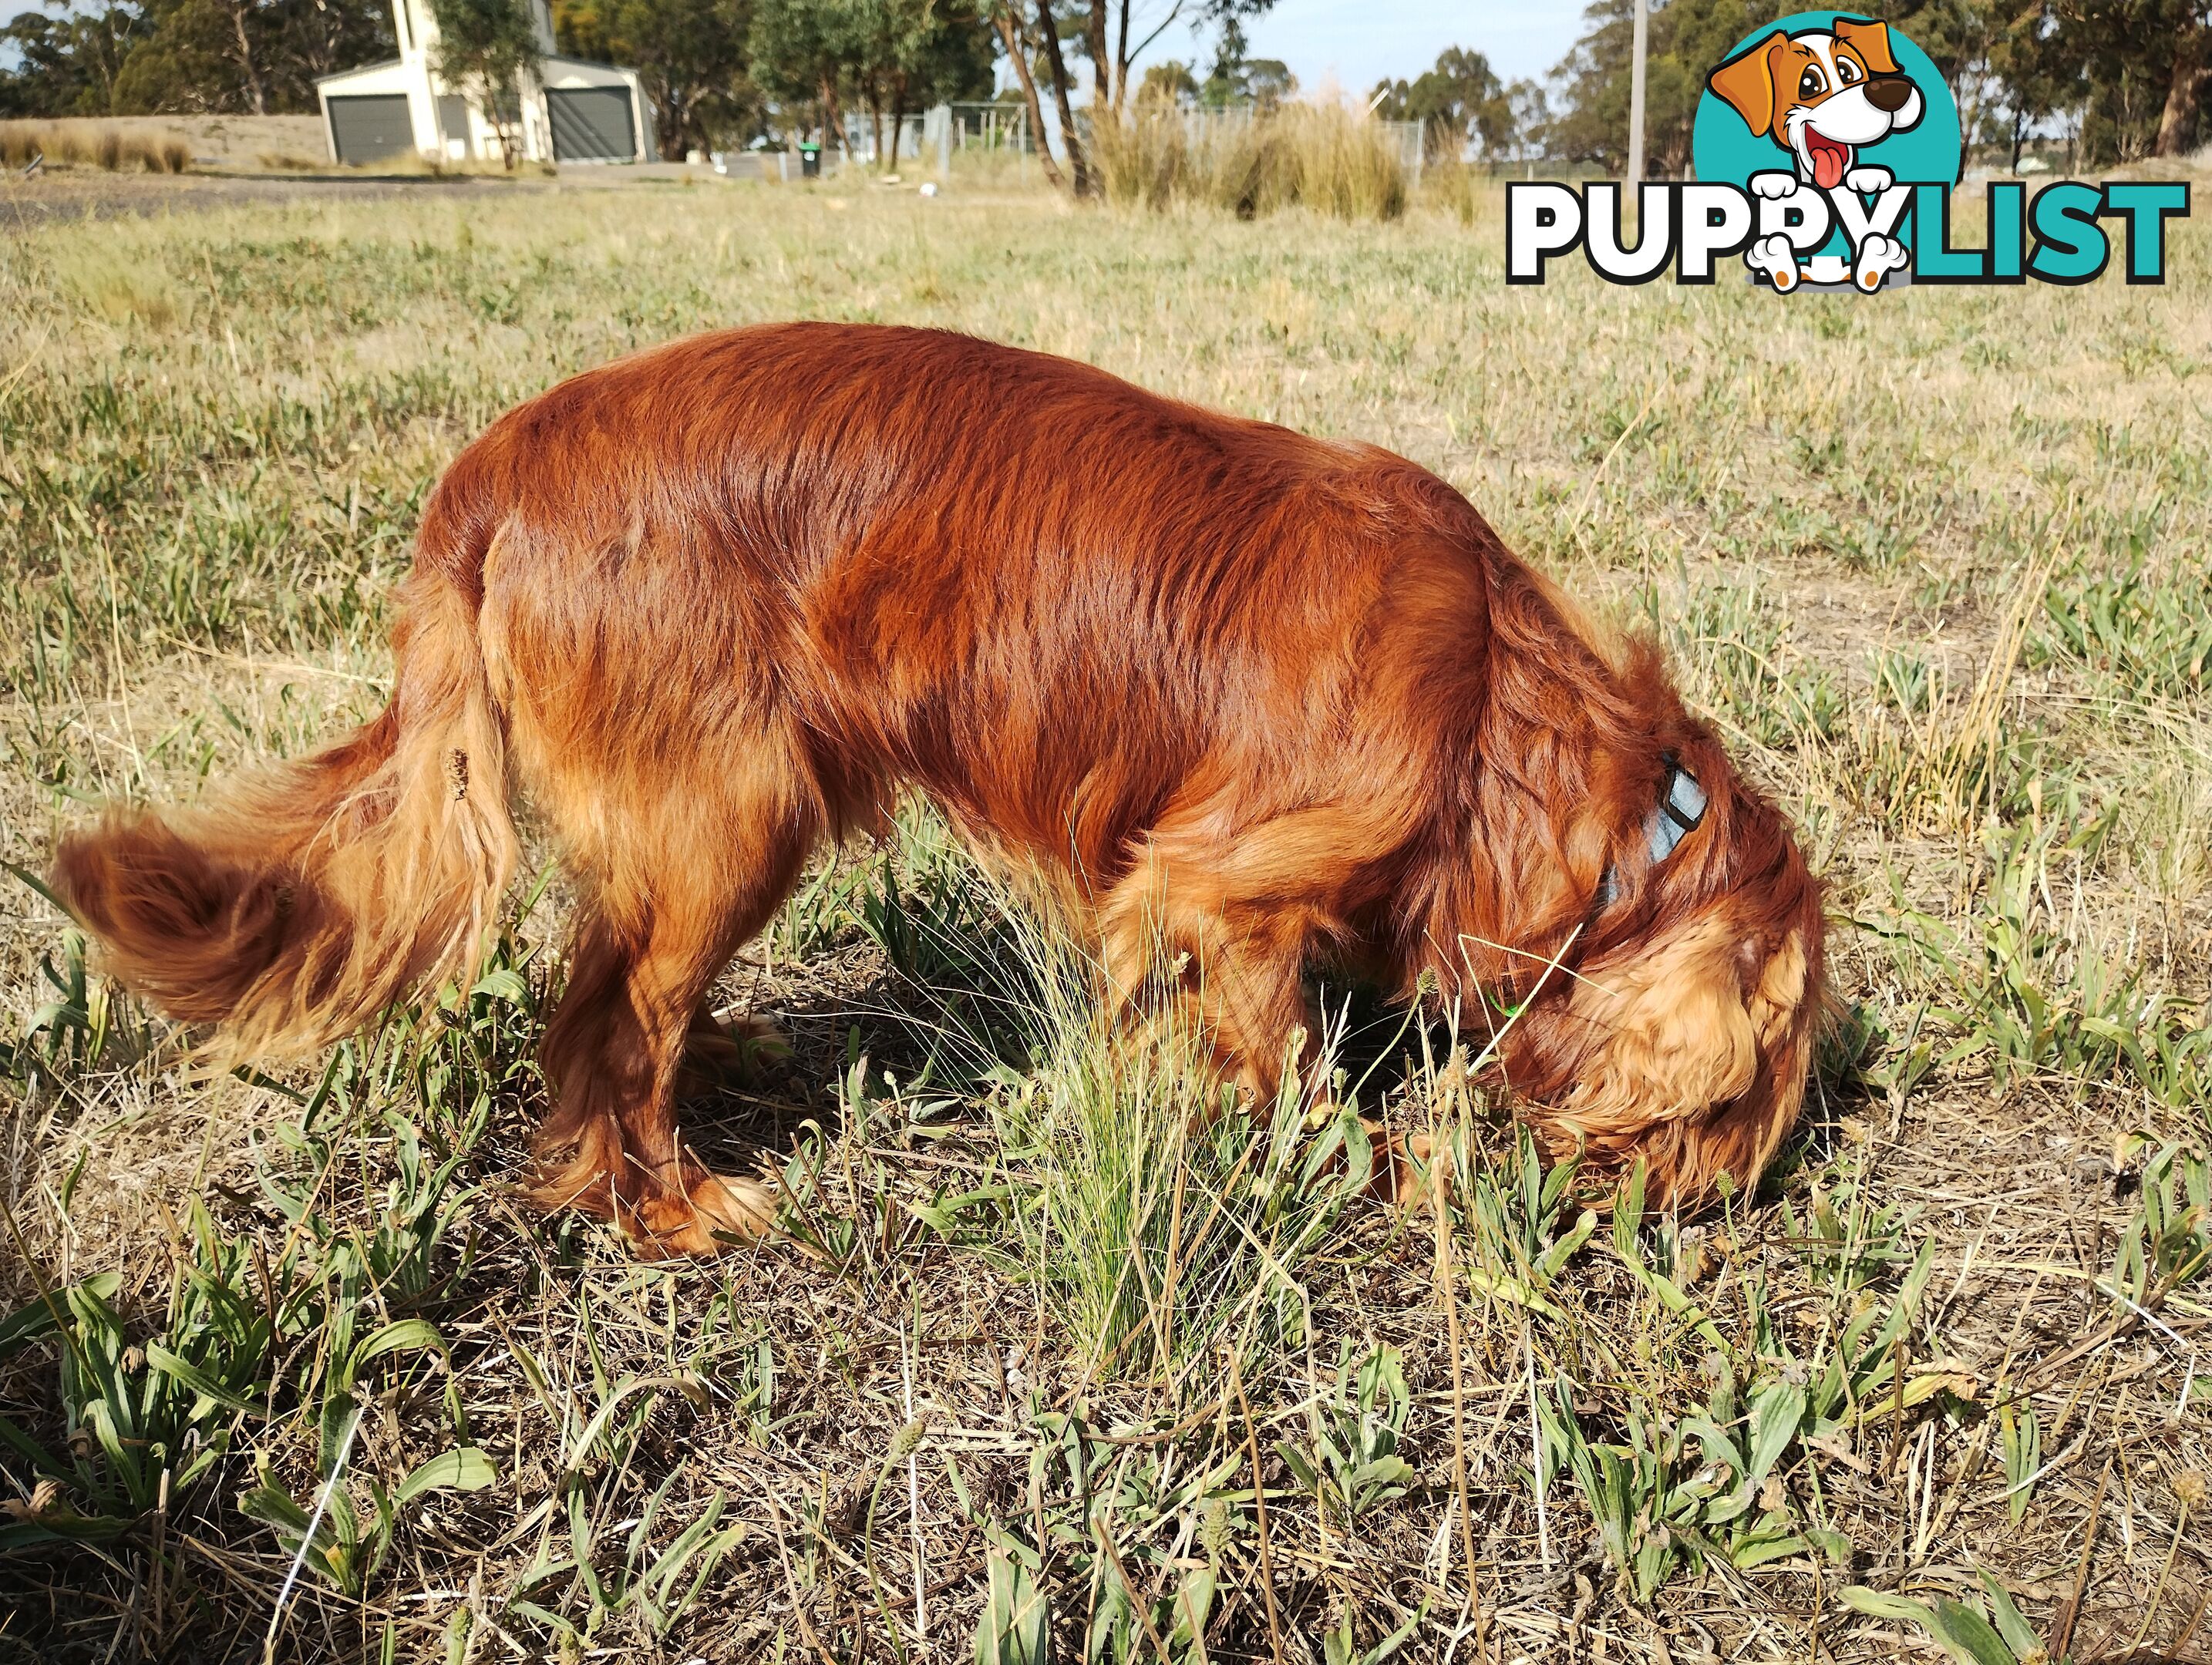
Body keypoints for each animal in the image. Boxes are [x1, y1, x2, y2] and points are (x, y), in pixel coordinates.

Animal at [52, 320, 1823, 1246]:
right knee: (606, 1021)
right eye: (1755, 1099)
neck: (1498, 716)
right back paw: (674, 1205)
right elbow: (1289, 1072)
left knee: (624, 982)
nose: (1712, 1210)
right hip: (737, 810)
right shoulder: (1212, 882)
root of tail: (485, 471)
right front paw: (1377, 1164)